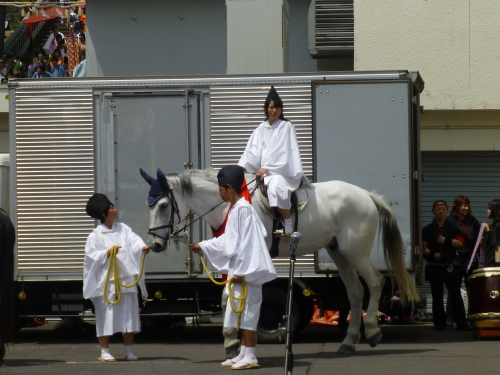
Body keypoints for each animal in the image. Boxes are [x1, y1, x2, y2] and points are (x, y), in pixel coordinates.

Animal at [141, 169, 418, 354]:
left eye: (163, 205)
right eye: (149, 206)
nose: (155, 244)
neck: (228, 205)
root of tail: (366, 195)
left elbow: (232, 296)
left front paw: (233, 339)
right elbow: (230, 296)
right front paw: (235, 338)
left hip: (355, 253)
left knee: (375, 282)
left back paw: (371, 330)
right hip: (339, 253)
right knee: (356, 291)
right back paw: (349, 342)